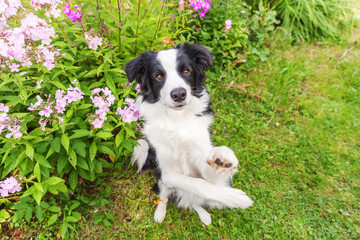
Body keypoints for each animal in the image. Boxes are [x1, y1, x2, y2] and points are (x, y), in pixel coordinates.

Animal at [126, 43, 253, 225]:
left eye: (186, 71)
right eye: (159, 76)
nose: (179, 94)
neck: (177, 120)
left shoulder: (200, 159)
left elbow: (208, 176)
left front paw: (223, 157)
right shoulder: (168, 173)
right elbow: (196, 184)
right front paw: (235, 197)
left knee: (194, 202)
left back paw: (204, 215)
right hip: (162, 181)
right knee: (164, 196)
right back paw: (160, 213)